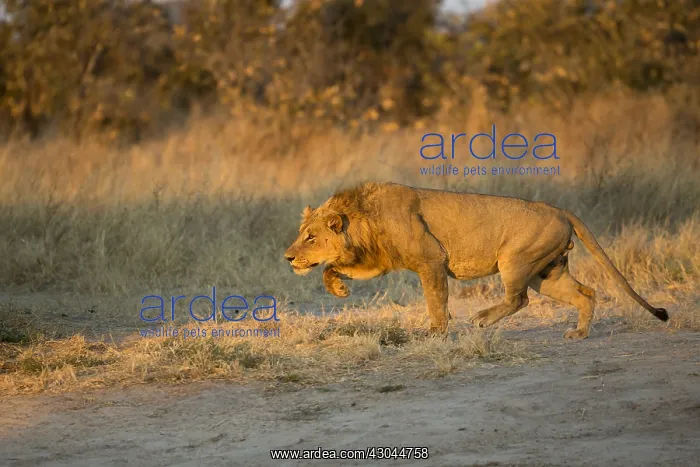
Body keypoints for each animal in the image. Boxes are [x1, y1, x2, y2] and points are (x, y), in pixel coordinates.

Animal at [283, 182, 669, 338]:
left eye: (310, 237)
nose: (288, 257)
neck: (362, 219)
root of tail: (558, 208)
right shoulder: (378, 261)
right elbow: (334, 267)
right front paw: (338, 290)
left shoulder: (431, 260)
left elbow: (436, 300)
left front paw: (436, 333)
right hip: (547, 274)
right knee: (586, 293)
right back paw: (579, 333)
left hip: (515, 261)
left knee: (518, 299)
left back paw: (482, 319)